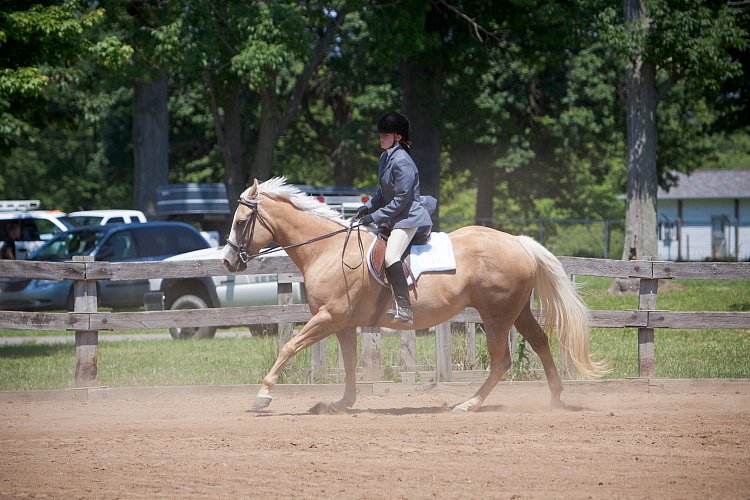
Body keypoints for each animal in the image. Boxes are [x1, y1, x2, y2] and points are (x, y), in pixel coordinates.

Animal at [225, 178, 612, 412]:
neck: (327, 250)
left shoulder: (328, 318)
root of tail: (518, 242)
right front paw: (342, 403)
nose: (229, 261)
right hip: (516, 312)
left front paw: (263, 395)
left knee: (502, 360)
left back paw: (469, 404)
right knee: (541, 343)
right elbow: (349, 363)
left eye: (242, 222)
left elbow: (289, 346)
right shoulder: (343, 324)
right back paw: (556, 399)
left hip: (497, 315)